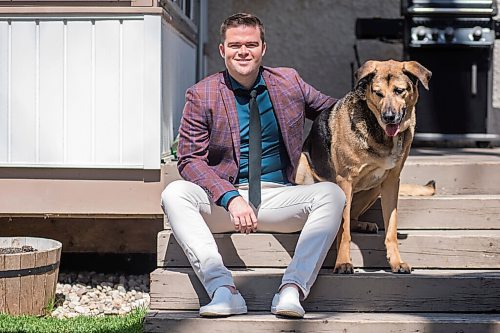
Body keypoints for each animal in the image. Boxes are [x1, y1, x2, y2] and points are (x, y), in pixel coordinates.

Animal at [294, 59, 432, 272]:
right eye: (378, 93)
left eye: (399, 90)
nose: (388, 117)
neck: (382, 135)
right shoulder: (345, 180)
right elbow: (343, 231)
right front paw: (343, 262)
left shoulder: (391, 181)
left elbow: (391, 228)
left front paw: (396, 261)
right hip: (302, 168)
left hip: (374, 188)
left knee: (353, 217)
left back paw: (363, 225)